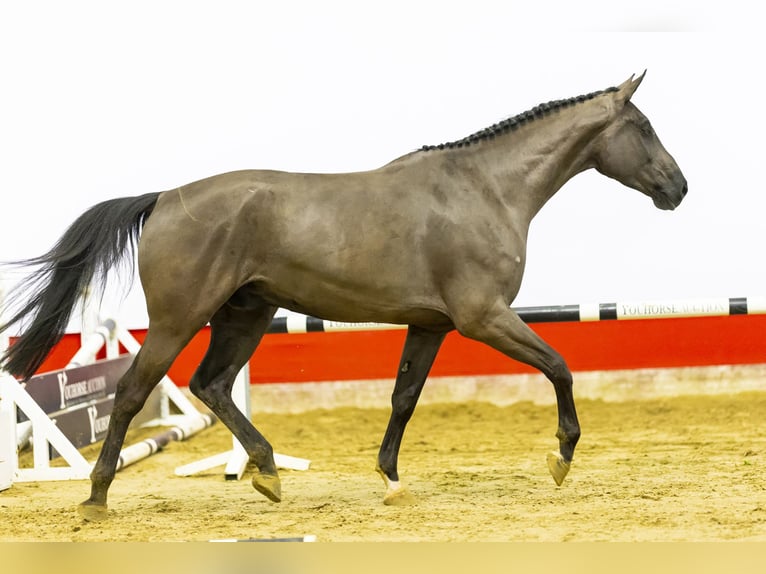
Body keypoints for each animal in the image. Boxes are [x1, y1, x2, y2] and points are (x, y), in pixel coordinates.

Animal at [0, 72, 684, 520]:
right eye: (644, 126)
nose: (678, 188)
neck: (484, 190)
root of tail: (164, 198)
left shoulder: (431, 324)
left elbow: (404, 397)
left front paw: (391, 479)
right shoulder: (484, 317)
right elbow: (561, 367)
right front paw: (561, 457)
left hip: (246, 315)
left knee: (210, 385)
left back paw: (267, 473)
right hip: (179, 321)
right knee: (133, 391)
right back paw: (96, 497)